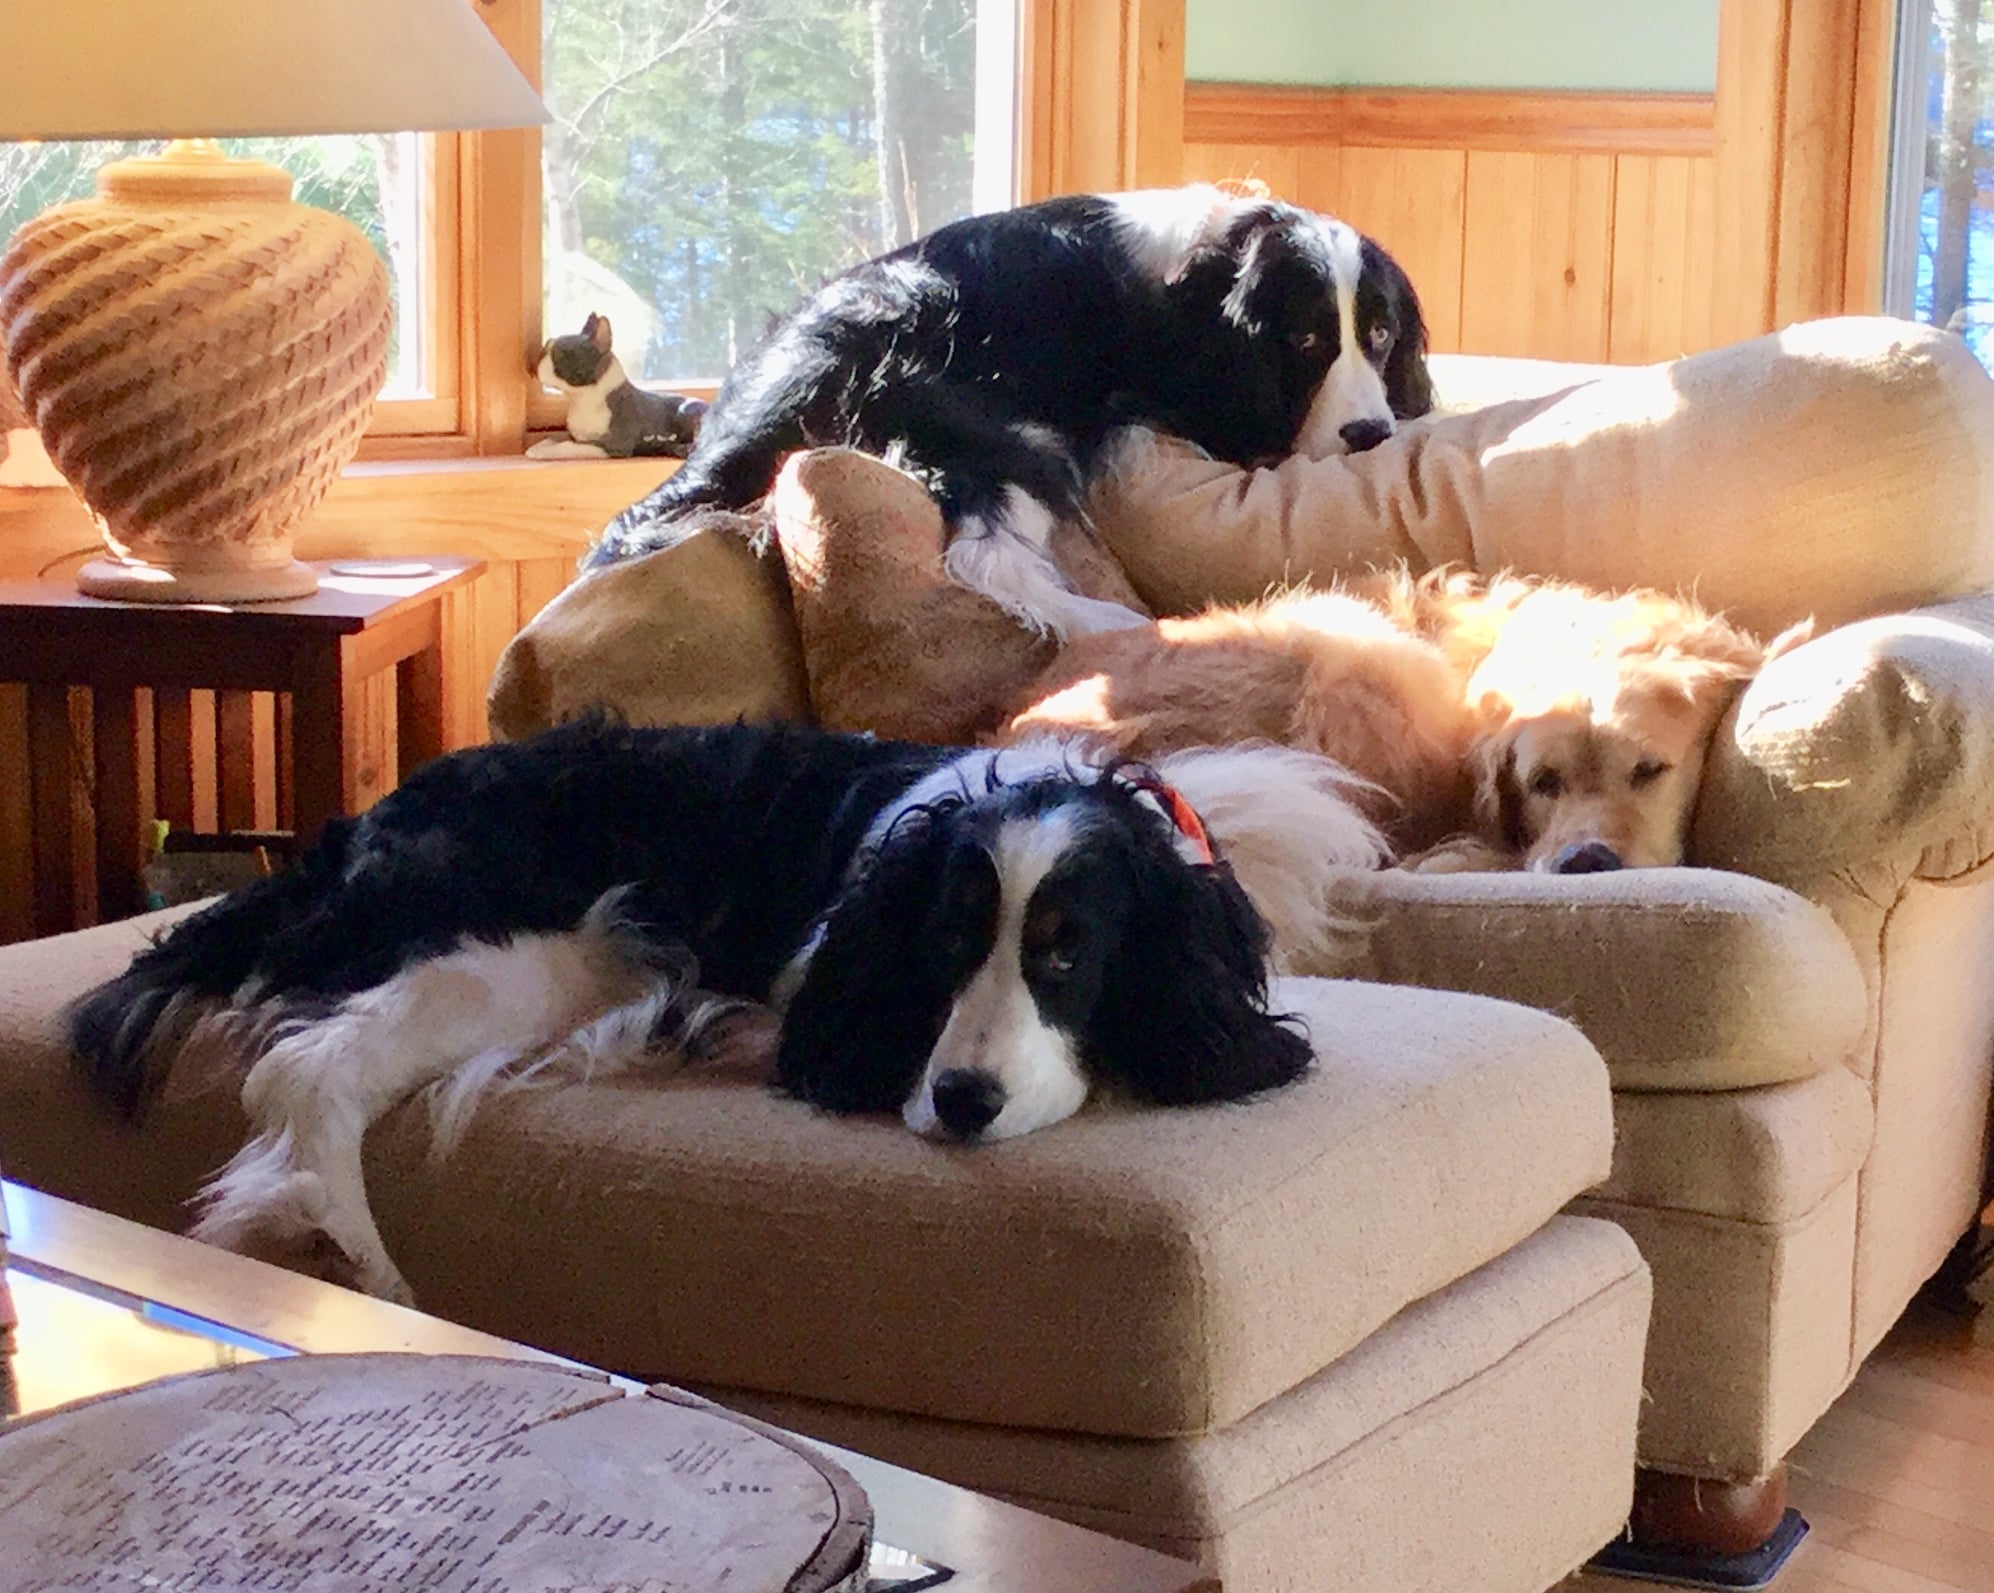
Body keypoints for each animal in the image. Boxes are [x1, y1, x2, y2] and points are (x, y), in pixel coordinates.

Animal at [66, 720, 1385, 1303]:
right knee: (306, 1071)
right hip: (533, 951)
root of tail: (355, 828)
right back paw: (350, 1254)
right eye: (947, 945)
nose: (962, 1102)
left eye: (1067, 956)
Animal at [585, 185, 1431, 640]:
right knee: (987, 560)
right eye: (1305, 340)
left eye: (1381, 334)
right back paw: (1120, 628)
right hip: (1010, 435)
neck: (1216, 265)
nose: (1369, 435)